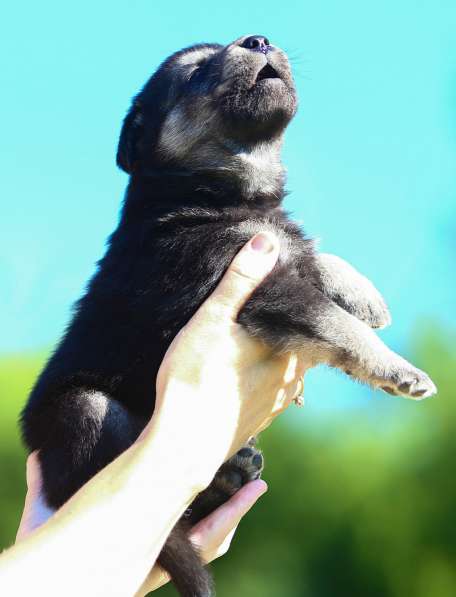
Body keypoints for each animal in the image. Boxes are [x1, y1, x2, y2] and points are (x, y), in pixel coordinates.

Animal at [22, 35, 438, 592]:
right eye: (197, 72)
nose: (258, 39)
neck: (217, 193)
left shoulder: (271, 247)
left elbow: (314, 258)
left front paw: (362, 293)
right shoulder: (254, 281)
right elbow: (335, 323)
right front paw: (397, 368)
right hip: (81, 409)